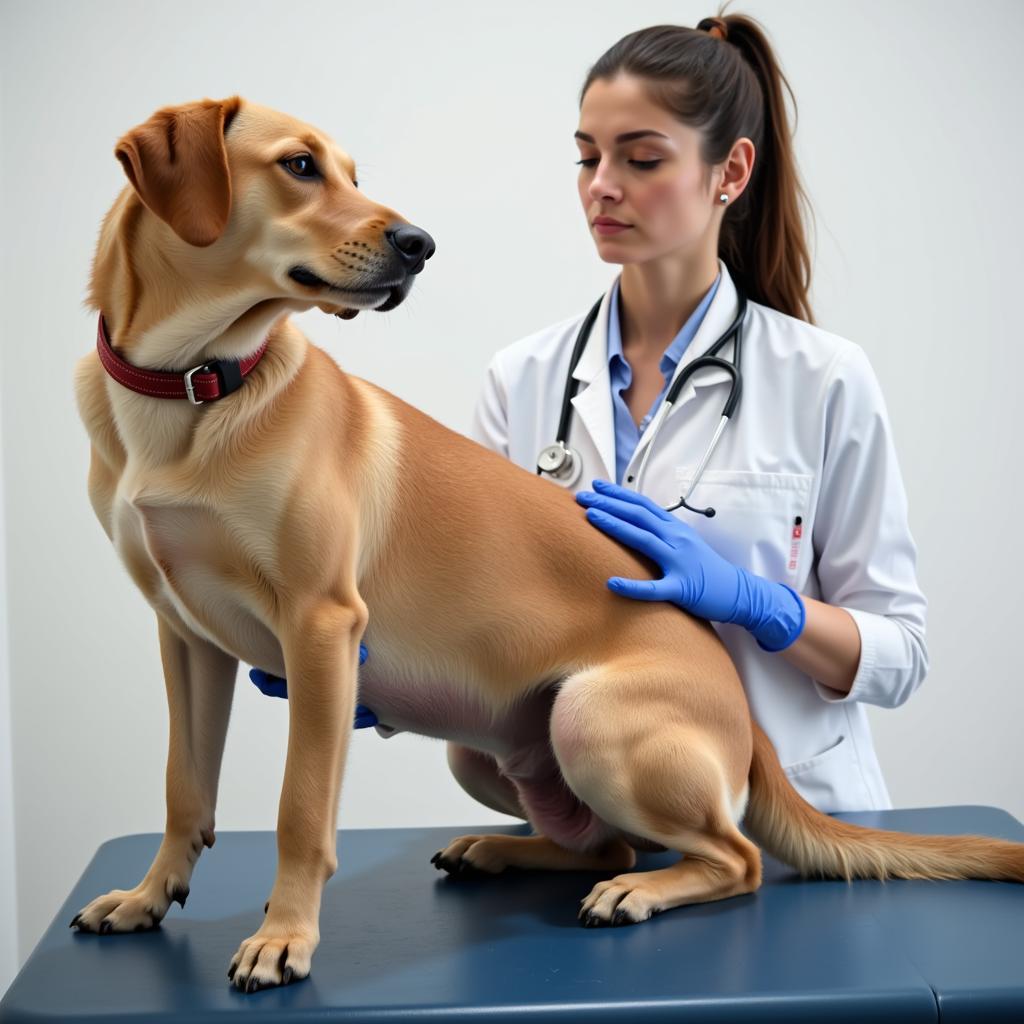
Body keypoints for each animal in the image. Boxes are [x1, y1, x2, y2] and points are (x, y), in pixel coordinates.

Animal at [72, 96, 1024, 991]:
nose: (420, 243)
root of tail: (746, 714)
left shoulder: (321, 628)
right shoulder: (187, 639)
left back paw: (636, 893)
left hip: (591, 720)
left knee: (734, 858)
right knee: (609, 843)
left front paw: (284, 938)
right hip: (484, 744)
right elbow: (184, 787)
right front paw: (148, 897)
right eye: (301, 166)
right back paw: (502, 851)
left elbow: (300, 810)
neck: (193, 386)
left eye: (347, 171)